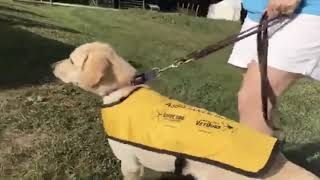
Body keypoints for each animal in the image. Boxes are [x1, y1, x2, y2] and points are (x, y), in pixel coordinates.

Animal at [52, 41, 318, 179]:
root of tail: (277, 161)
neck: (125, 90)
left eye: (72, 60)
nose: (53, 65)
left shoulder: (129, 162)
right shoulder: (147, 163)